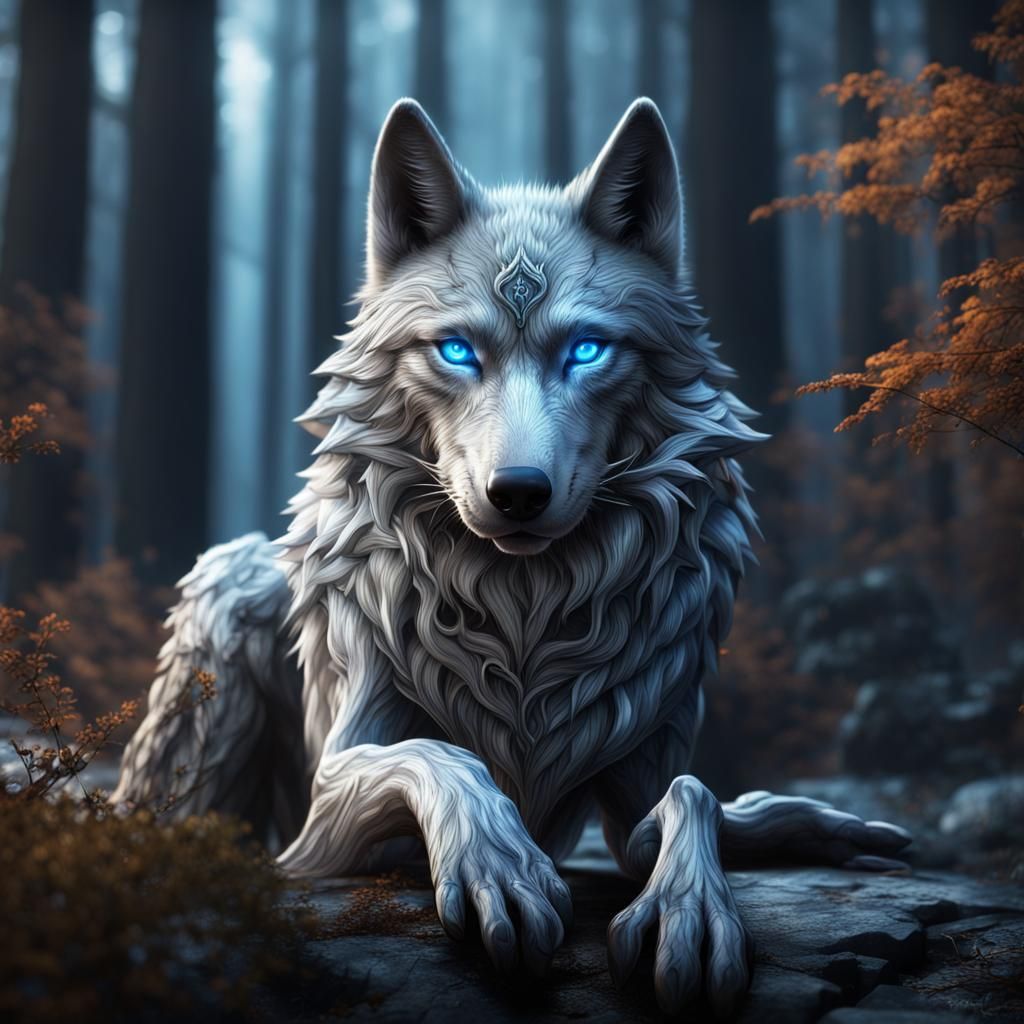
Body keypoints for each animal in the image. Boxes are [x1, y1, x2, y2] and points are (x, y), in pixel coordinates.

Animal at [113, 98, 910, 1016]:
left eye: (587, 350)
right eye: (458, 350)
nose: (518, 492)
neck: (523, 614)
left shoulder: (638, 786)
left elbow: (691, 796)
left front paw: (702, 905)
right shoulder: (320, 820)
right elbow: (438, 756)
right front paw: (499, 864)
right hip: (227, 597)